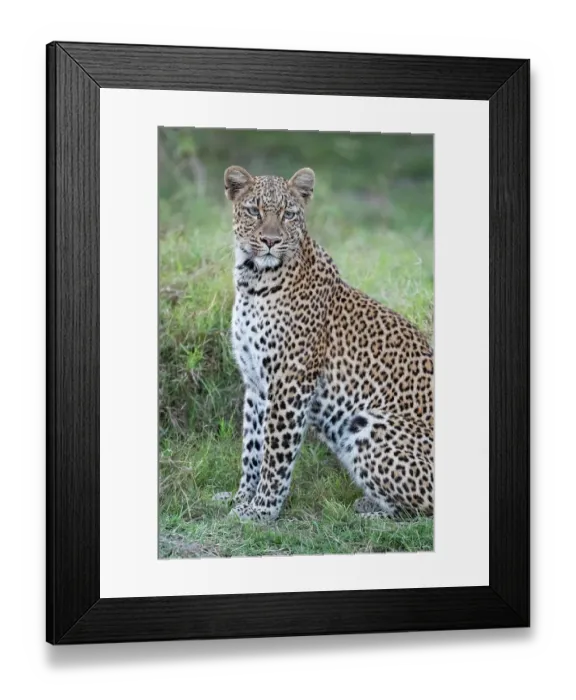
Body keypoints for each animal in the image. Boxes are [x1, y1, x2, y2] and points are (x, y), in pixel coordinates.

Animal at [214, 165, 434, 523]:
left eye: (289, 214)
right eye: (254, 210)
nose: (271, 241)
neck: (253, 280)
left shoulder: (290, 382)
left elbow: (275, 453)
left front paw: (260, 510)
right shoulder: (256, 384)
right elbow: (252, 448)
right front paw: (240, 498)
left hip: (367, 424)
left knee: (423, 508)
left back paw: (367, 516)